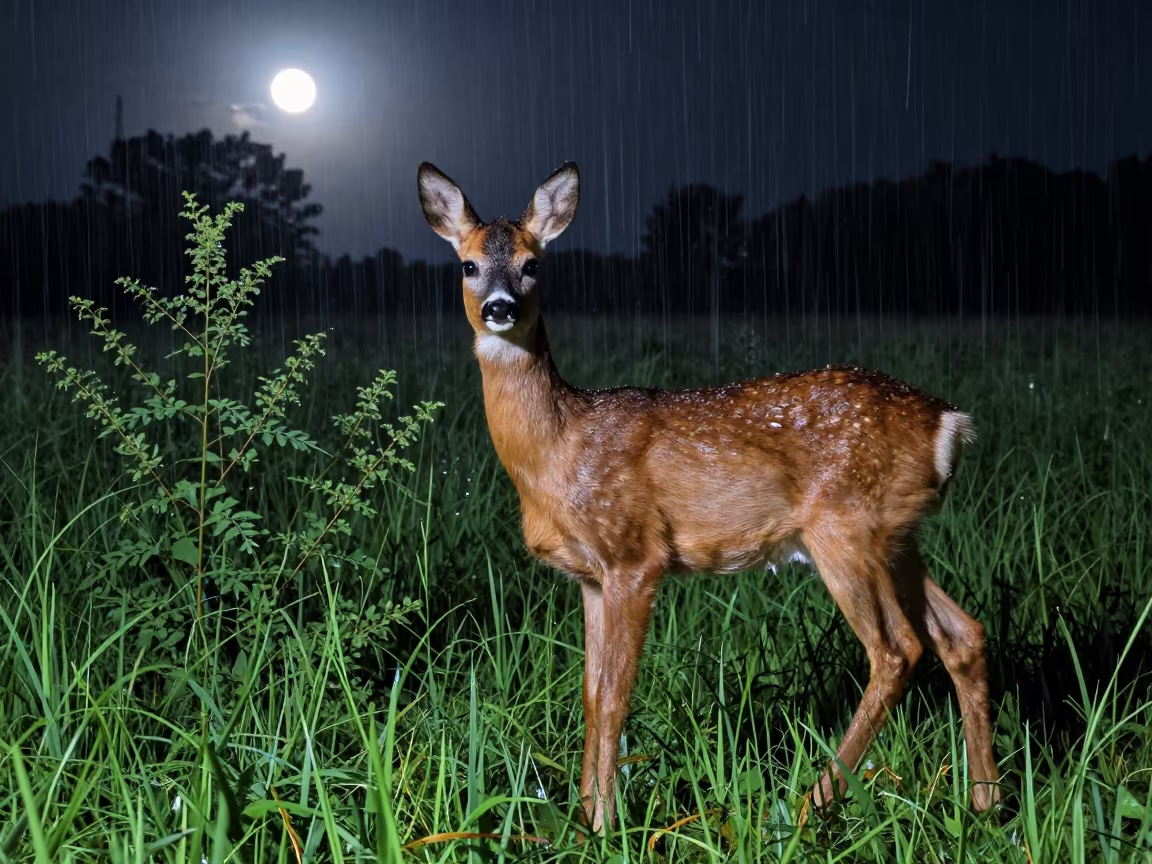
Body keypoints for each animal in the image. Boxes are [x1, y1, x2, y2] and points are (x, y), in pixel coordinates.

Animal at [416, 159, 1000, 834]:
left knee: (897, 651)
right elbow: (589, 692)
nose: (500, 307)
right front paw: (583, 819)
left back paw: (805, 810)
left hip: (845, 530)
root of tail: (947, 424)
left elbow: (615, 695)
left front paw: (606, 824)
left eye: (533, 263)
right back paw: (987, 803)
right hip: (897, 536)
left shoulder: (634, 555)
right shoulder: (589, 576)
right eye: (468, 265)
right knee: (961, 635)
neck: (558, 449)